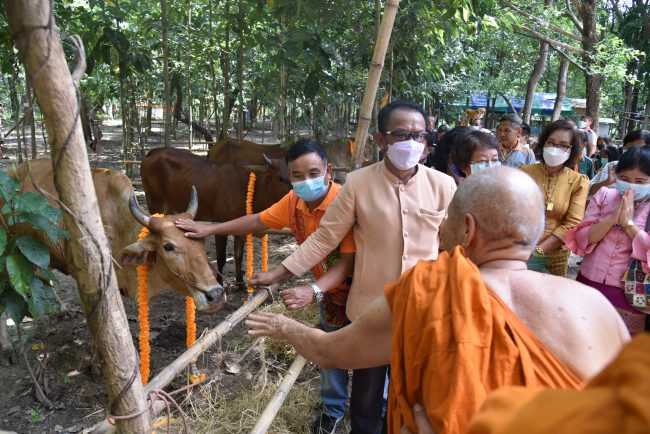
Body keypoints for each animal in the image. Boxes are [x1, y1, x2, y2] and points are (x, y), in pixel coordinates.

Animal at [143, 147, 292, 286]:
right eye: (280, 178)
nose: (293, 193)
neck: (247, 189)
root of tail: (155, 151)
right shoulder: (220, 226)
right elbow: (221, 257)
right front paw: (220, 282)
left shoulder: (241, 229)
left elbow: (238, 256)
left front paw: (240, 283)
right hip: (154, 202)